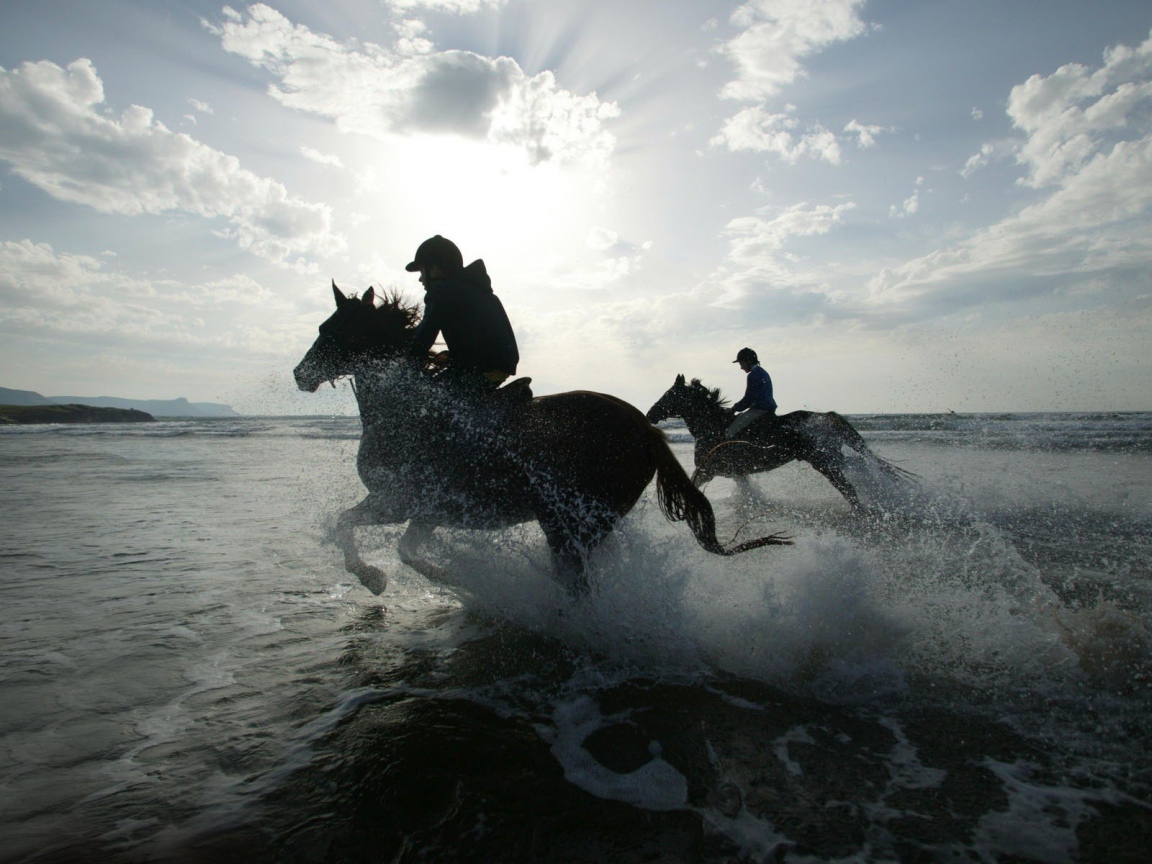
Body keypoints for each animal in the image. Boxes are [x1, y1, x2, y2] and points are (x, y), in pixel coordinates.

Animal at [293, 284, 790, 597]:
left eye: (329, 329)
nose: (301, 374)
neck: (406, 411)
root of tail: (646, 429)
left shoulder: (396, 501)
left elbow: (346, 524)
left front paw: (373, 577)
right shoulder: (427, 512)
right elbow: (404, 548)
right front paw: (453, 578)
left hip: (572, 523)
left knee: (577, 581)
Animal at [645, 375, 913, 509]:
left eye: (669, 394)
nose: (650, 414)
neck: (712, 427)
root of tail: (825, 417)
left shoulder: (709, 470)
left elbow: (692, 484)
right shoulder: (736, 472)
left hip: (822, 461)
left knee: (848, 488)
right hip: (832, 457)